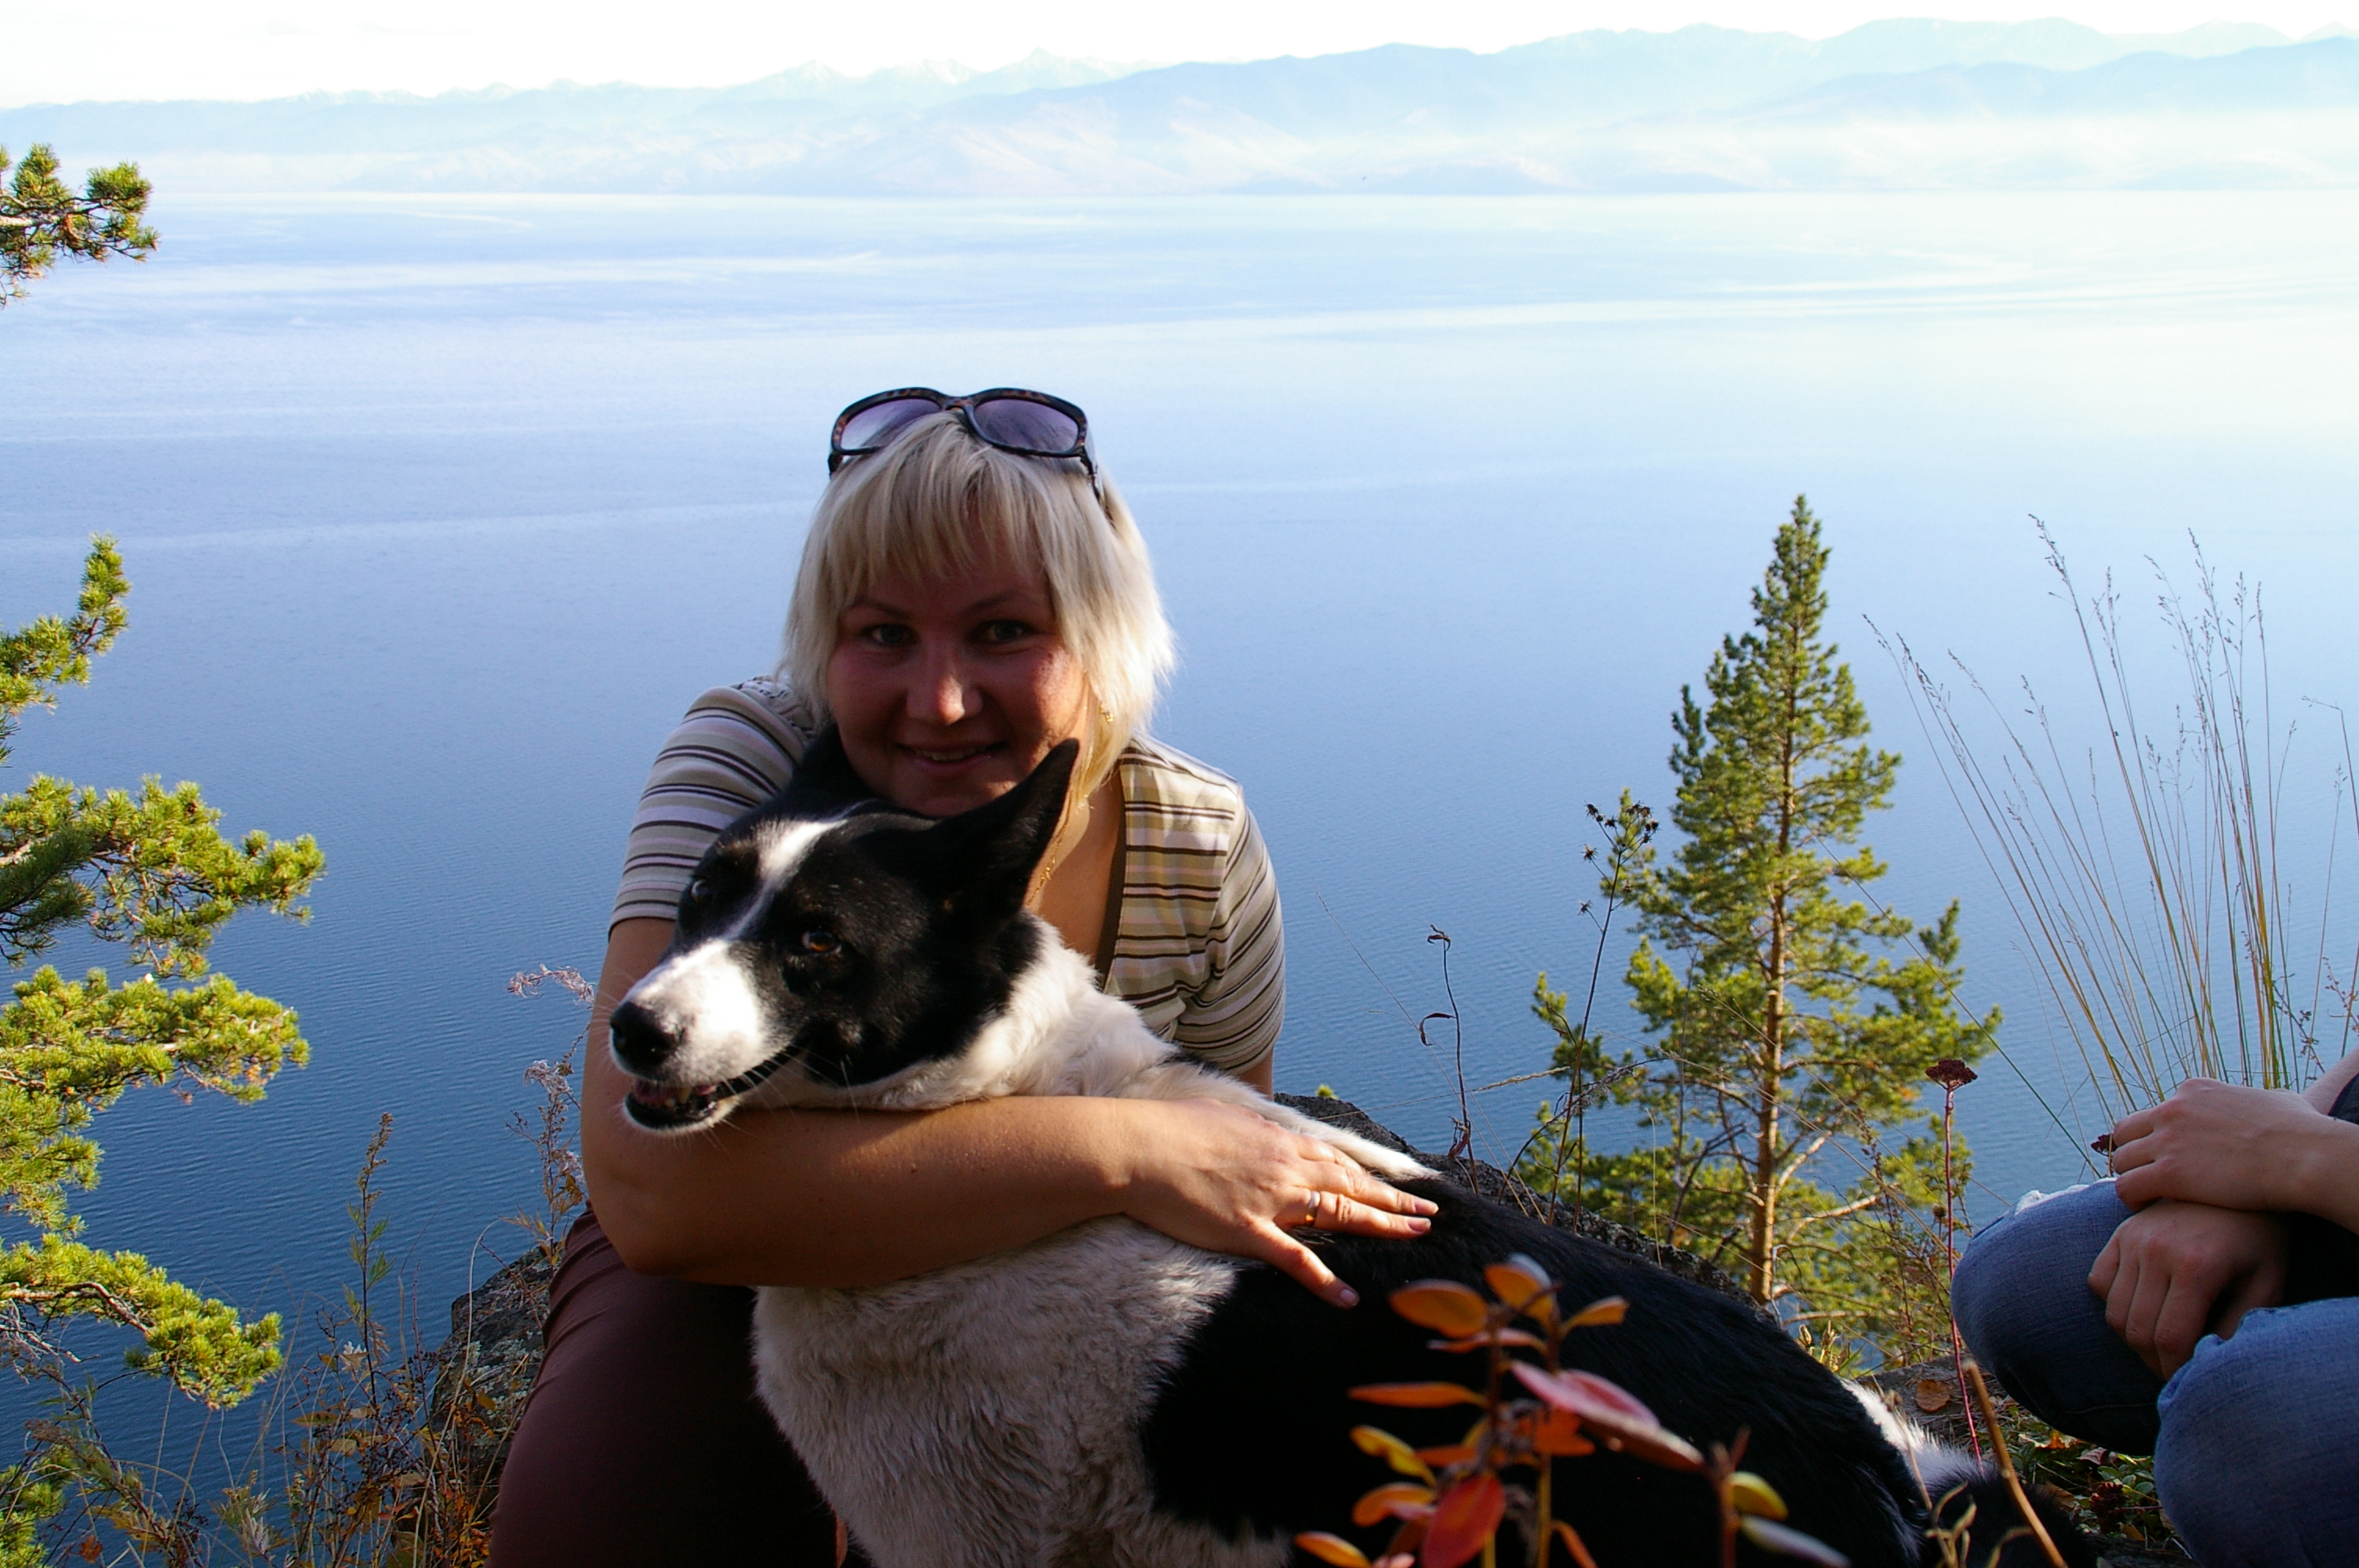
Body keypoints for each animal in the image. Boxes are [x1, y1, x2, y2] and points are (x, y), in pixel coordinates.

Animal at [607, 735, 2093, 1568]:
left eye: (814, 941)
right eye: (696, 902)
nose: (630, 1027)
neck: (987, 1111)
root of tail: (1877, 1481)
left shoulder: (962, 1537)